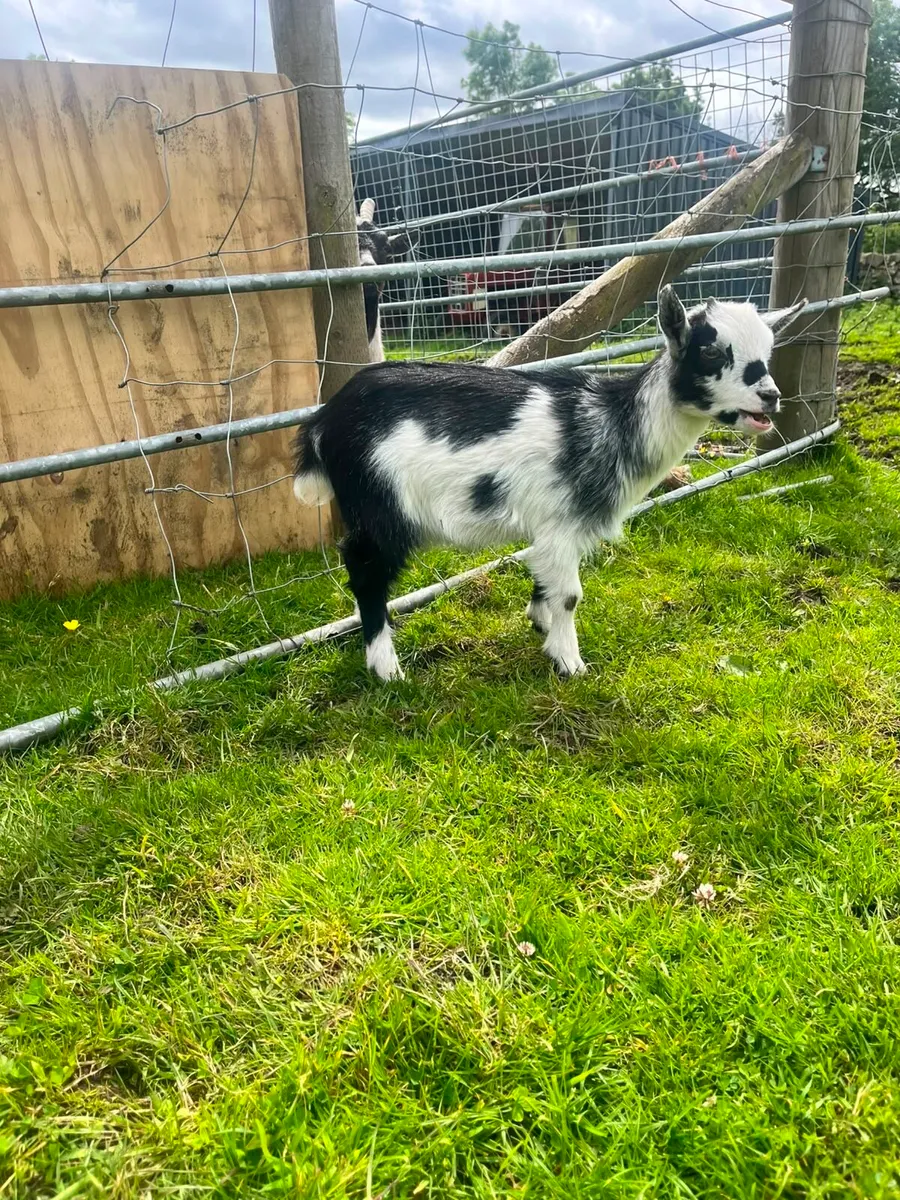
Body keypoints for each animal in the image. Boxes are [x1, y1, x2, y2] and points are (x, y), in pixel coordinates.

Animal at [294, 285, 805, 681]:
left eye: (767, 353)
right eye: (712, 351)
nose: (770, 397)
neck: (612, 421)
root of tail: (323, 421)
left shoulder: (553, 524)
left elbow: (545, 578)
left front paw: (539, 622)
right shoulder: (562, 521)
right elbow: (571, 595)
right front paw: (569, 662)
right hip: (380, 503)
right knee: (366, 570)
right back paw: (386, 667)